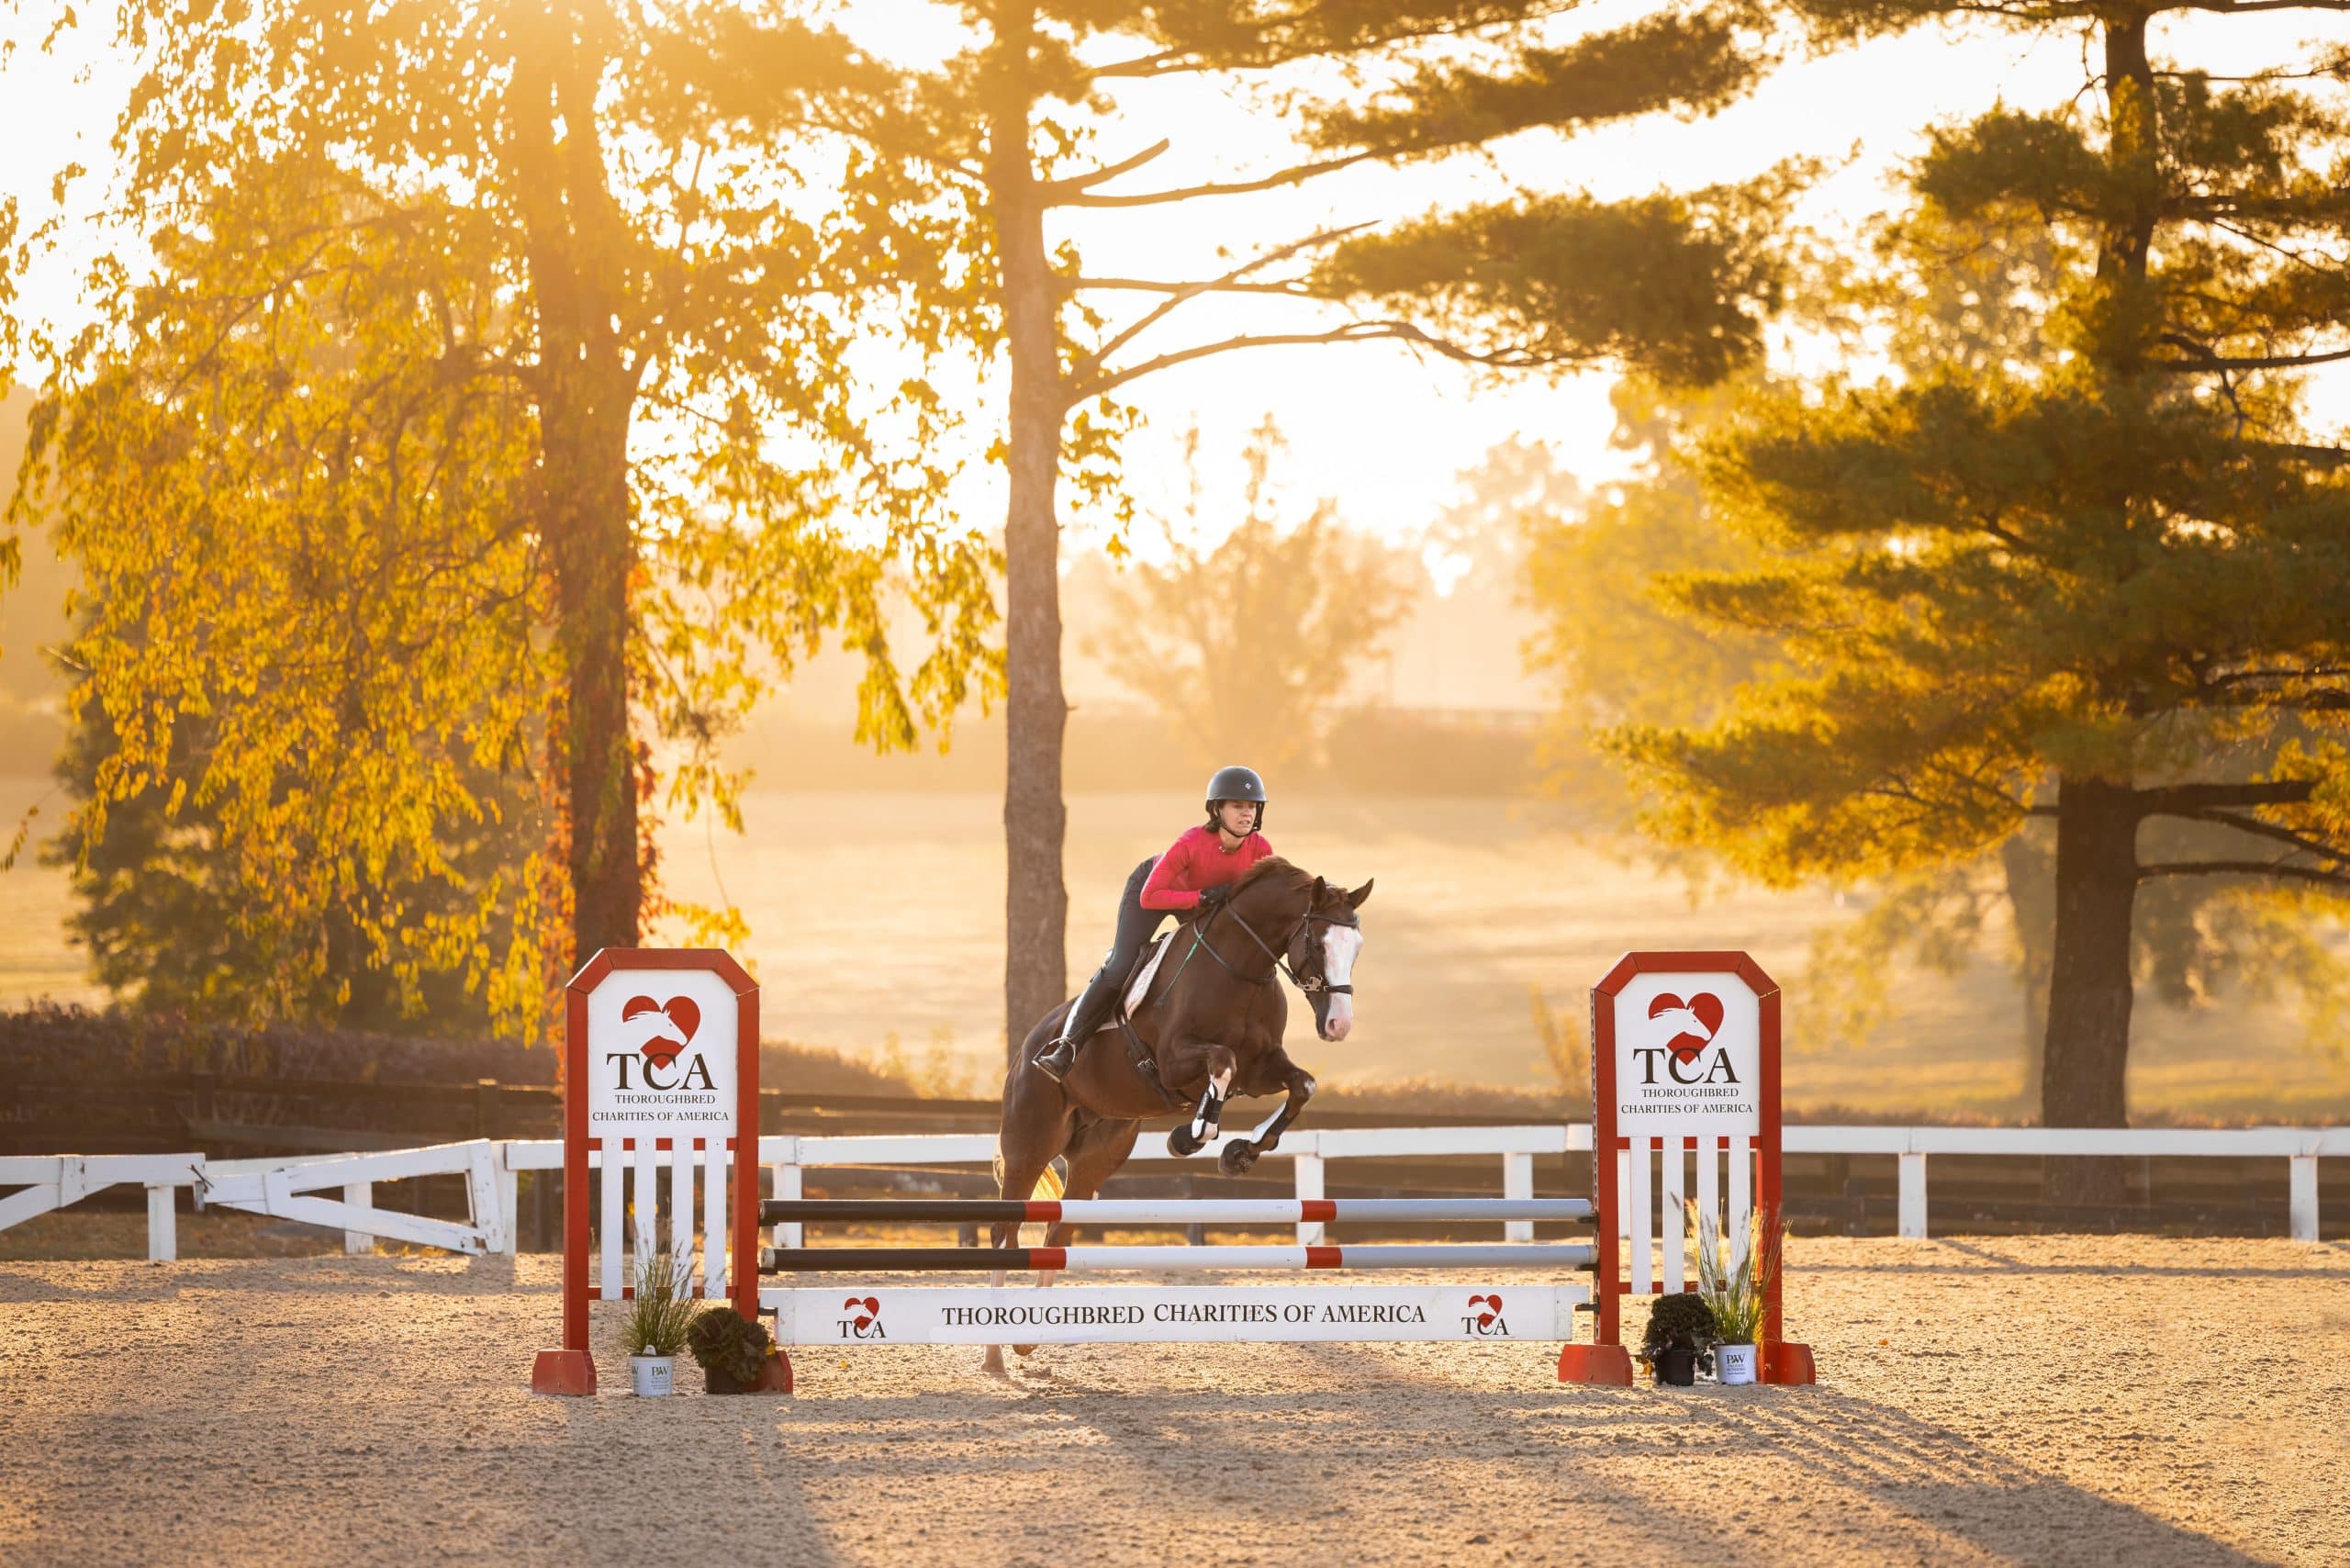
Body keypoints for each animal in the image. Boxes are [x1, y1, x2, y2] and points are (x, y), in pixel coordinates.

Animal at [977, 860, 1372, 1372]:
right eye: (1320, 944)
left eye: (1356, 948)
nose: (1338, 1025)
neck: (1241, 969)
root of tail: (1027, 1048)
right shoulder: (1175, 1061)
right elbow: (1222, 1062)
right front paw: (1194, 1133)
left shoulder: (1262, 1068)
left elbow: (1301, 1085)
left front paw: (1240, 1152)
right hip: (1029, 1142)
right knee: (1004, 1230)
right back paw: (994, 1355)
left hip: (1098, 1154)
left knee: (1059, 1228)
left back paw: (1028, 1339)